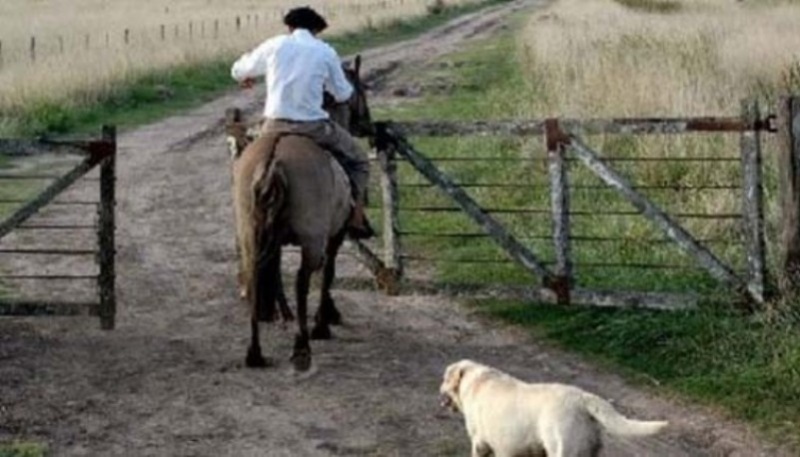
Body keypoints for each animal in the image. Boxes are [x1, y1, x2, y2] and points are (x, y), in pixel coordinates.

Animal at [227, 56, 374, 370]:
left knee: (254, 277)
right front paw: (324, 320)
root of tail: (273, 160)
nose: (367, 124)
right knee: (302, 280)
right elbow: (328, 273)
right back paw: (303, 343)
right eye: (360, 89)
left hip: (250, 234)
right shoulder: (335, 235)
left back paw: (255, 352)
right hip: (311, 240)